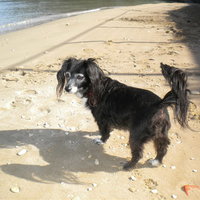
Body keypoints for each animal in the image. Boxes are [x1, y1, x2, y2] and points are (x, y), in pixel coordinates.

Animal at [55, 57, 189, 170]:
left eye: (80, 77)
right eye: (67, 75)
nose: (67, 89)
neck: (95, 86)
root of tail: (159, 103)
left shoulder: (101, 119)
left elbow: (104, 132)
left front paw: (101, 140)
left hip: (136, 135)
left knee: (138, 154)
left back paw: (129, 166)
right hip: (159, 133)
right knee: (163, 147)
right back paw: (156, 161)